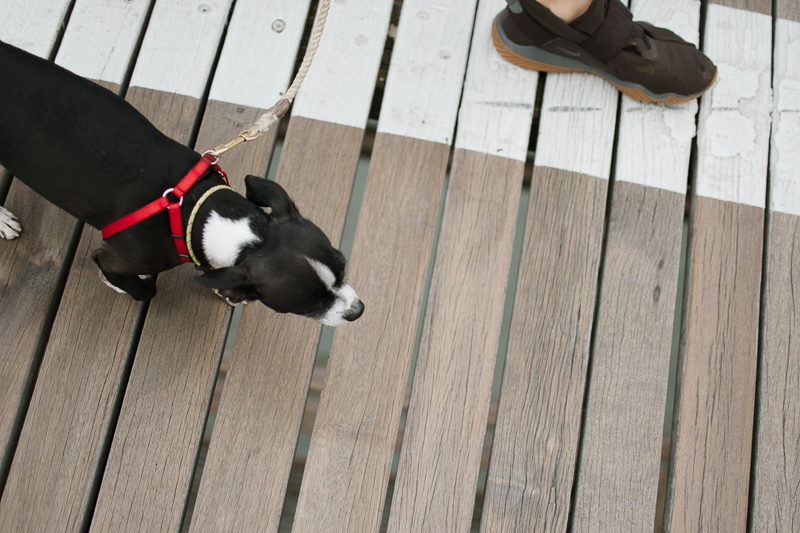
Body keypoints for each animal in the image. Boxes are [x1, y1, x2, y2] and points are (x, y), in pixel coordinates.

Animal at [0, 40, 362, 324]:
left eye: (343, 266)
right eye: (312, 303)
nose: (357, 310)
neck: (195, 210)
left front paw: (230, 290)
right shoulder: (114, 257)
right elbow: (144, 289)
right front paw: (121, 284)